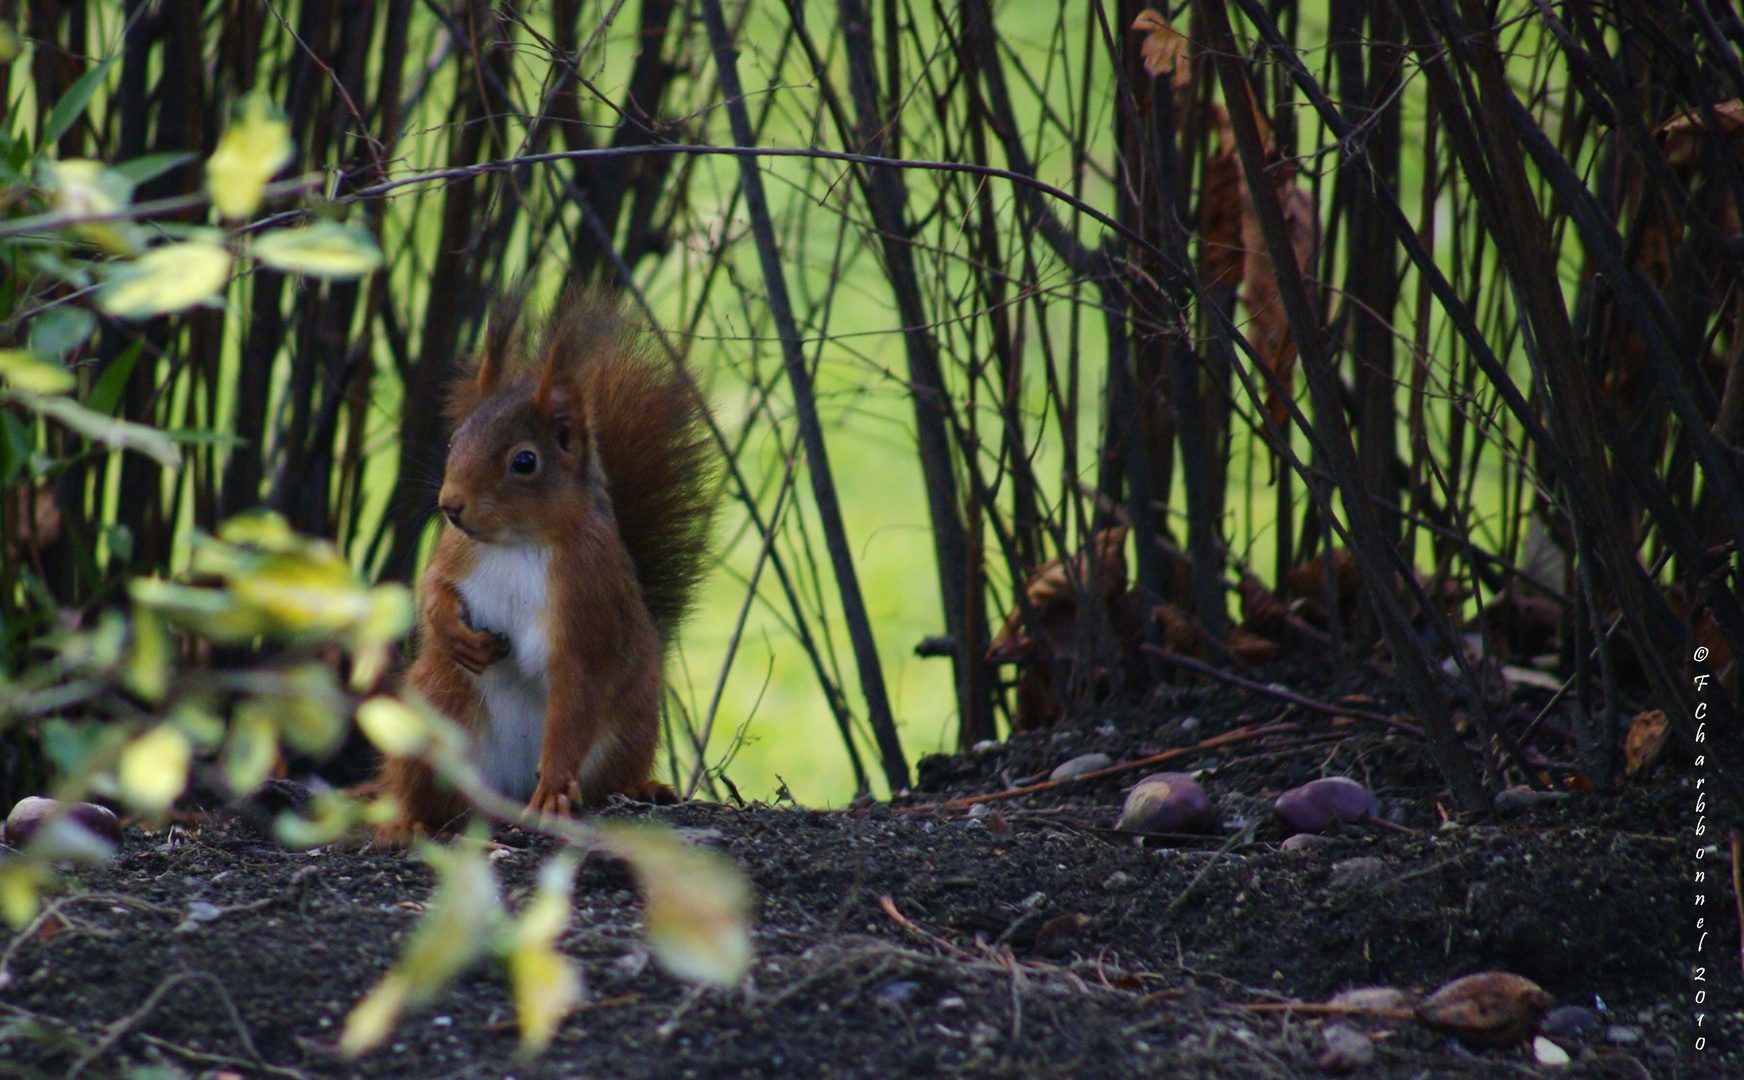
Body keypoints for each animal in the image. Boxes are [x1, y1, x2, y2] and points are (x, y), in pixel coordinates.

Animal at [378, 291, 711, 833]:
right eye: (454, 440)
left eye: (525, 462)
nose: (450, 505)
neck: (517, 544)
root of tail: (506, 790)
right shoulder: (455, 550)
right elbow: (433, 588)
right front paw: (452, 630)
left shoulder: (588, 606)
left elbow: (575, 700)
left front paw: (553, 791)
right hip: (431, 713)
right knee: (423, 795)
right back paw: (406, 823)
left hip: (631, 726)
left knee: (606, 776)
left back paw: (640, 788)